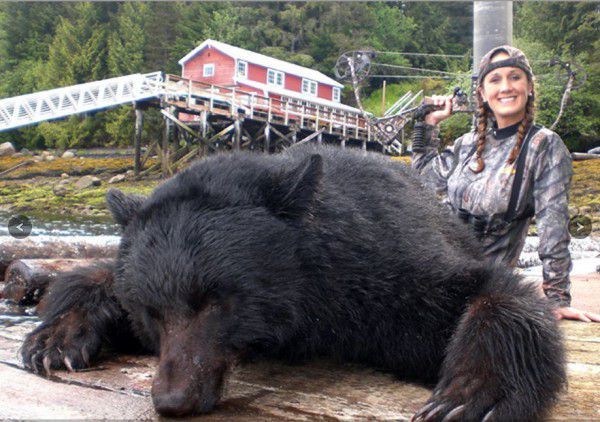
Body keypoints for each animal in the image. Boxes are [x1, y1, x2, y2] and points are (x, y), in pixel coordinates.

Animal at [23, 144, 564, 418]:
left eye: (215, 301)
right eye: (151, 313)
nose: (172, 399)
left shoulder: (388, 276)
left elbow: (493, 293)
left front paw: (469, 396)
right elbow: (98, 277)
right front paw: (54, 339)